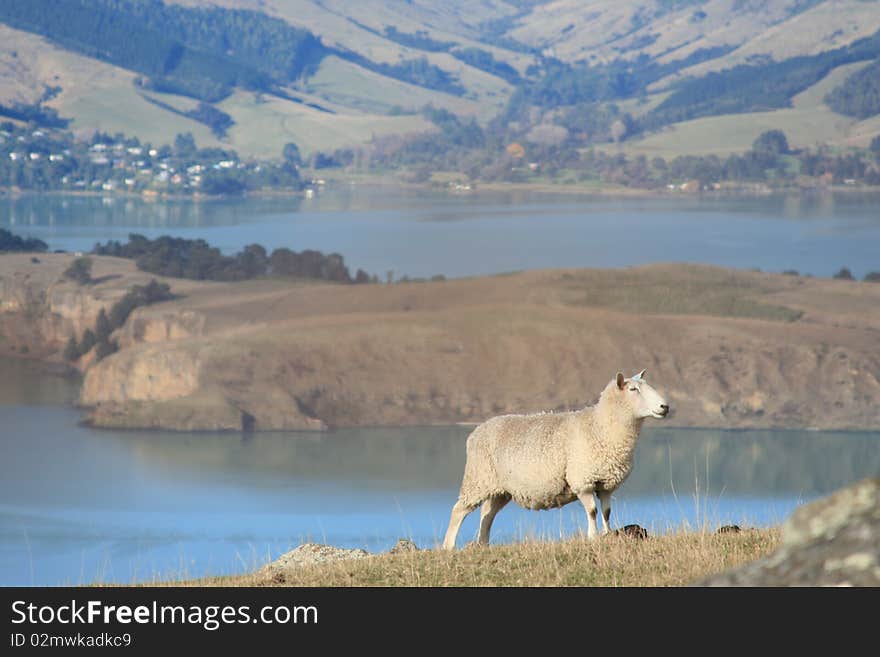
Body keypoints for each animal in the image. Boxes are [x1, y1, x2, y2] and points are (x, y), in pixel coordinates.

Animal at [444, 368, 672, 548]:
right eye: (633, 390)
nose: (665, 407)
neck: (600, 427)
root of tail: (477, 431)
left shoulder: (606, 484)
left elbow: (606, 512)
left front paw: (607, 534)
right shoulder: (582, 481)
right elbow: (592, 511)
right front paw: (593, 537)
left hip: (500, 489)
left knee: (487, 514)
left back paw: (483, 544)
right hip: (478, 479)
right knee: (459, 510)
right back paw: (449, 546)